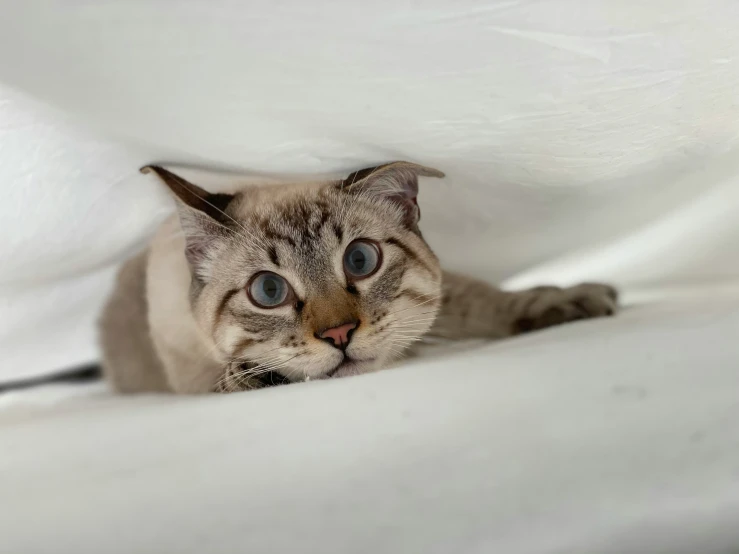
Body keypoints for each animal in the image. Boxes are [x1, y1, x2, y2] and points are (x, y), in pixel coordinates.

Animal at [99, 161, 620, 392]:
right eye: (268, 290)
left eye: (360, 262)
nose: (340, 334)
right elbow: (232, 375)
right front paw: (259, 375)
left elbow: (484, 299)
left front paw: (565, 300)